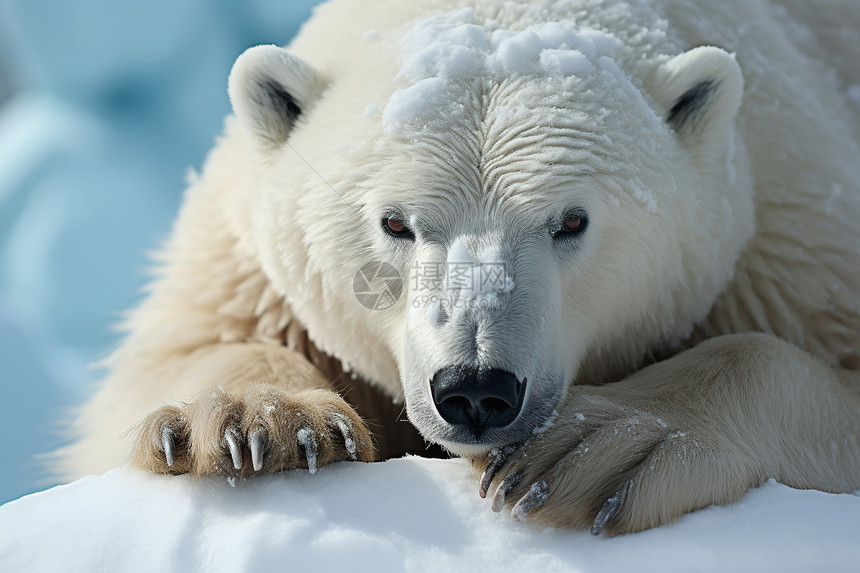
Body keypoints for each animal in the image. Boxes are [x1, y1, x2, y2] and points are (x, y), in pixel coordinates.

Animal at [55, 1, 860, 536]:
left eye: (572, 221)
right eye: (395, 222)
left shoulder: (789, 223)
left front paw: (599, 445)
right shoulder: (239, 251)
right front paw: (255, 424)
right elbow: (180, 352)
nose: (475, 389)